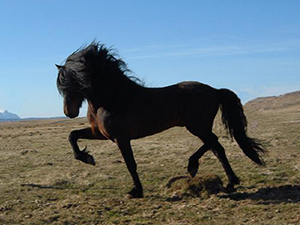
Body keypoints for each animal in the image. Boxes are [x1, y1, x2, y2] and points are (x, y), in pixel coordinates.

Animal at [55, 41, 264, 198]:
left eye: (71, 81)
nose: (68, 112)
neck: (114, 99)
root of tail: (214, 90)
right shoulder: (101, 134)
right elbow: (72, 136)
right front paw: (87, 158)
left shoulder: (122, 138)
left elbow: (131, 164)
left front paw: (136, 191)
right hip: (199, 127)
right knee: (217, 148)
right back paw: (229, 182)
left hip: (197, 126)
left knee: (214, 142)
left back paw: (195, 167)